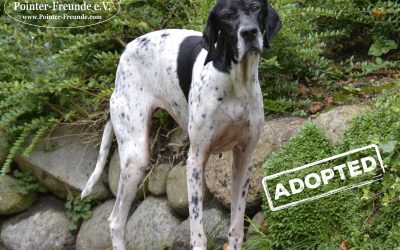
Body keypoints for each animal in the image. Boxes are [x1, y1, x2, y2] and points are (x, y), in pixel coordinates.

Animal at [81, 0, 282, 249]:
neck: (236, 82)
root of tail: (125, 53)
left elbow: (236, 225)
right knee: (115, 221)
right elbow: (197, 229)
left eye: (255, 8)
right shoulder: (195, 160)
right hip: (136, 158)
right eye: (226, 16)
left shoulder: (244, 159)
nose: (249, 32)